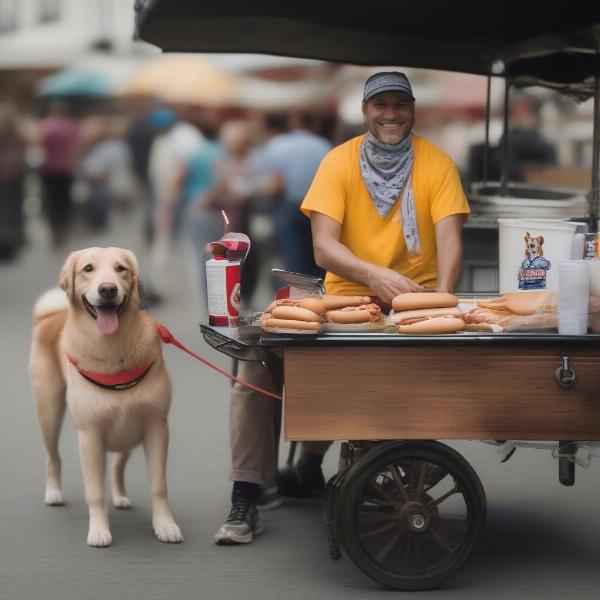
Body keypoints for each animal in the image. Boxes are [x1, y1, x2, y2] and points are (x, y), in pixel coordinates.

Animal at [29, 247, 182, 548]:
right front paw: (99, 530)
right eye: (88, 269)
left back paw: (120, 496)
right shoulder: (90, 435)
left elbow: (159, 486)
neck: (113, 348)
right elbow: (95, 492)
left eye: (121, 268)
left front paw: (165, 525)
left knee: (117, 466)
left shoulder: (156, 427)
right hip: (49, 412)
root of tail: (50, 316)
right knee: (52, 457)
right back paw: (53, 492)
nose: (108, 289)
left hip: (130, 429)